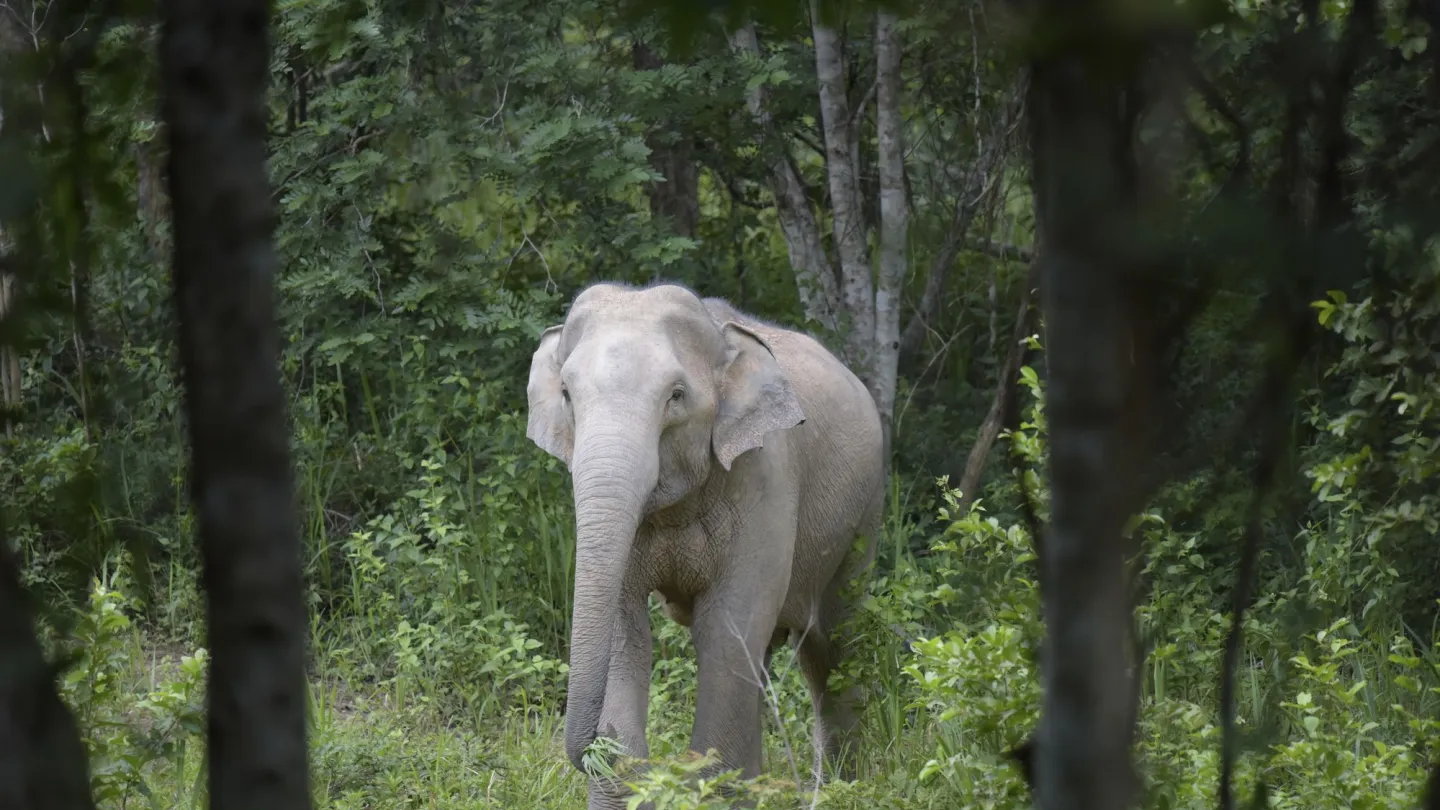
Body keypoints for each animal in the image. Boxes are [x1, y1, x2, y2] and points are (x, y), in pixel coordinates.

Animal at [525, 281, 885, 808]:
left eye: (676, 396)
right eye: (568, 394)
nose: (593, 743)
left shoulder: (764, 477)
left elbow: (726, 627)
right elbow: (626, 628)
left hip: (864, 515)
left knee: (831, 648)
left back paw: (837, 790)